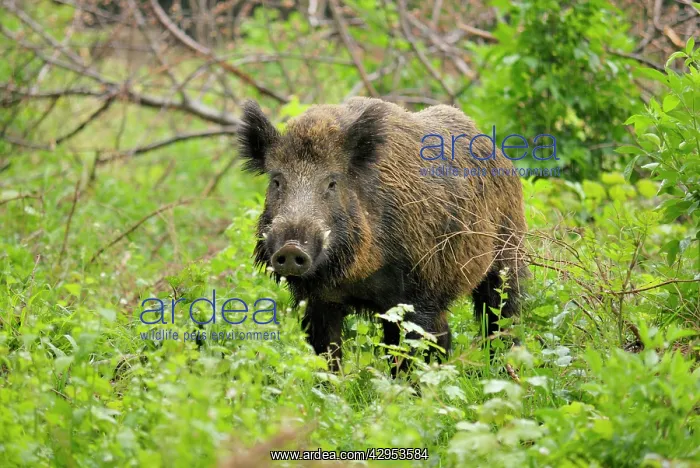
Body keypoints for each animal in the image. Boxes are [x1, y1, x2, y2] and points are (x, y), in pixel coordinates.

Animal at [238, 97, 529, 374]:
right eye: (277, 181)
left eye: (332, 183)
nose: (290, 248)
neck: (356, 276)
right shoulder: (318, 302)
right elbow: (327, 354)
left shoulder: (417, 295)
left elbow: (408, 353)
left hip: (507, 253)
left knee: (502, 315)